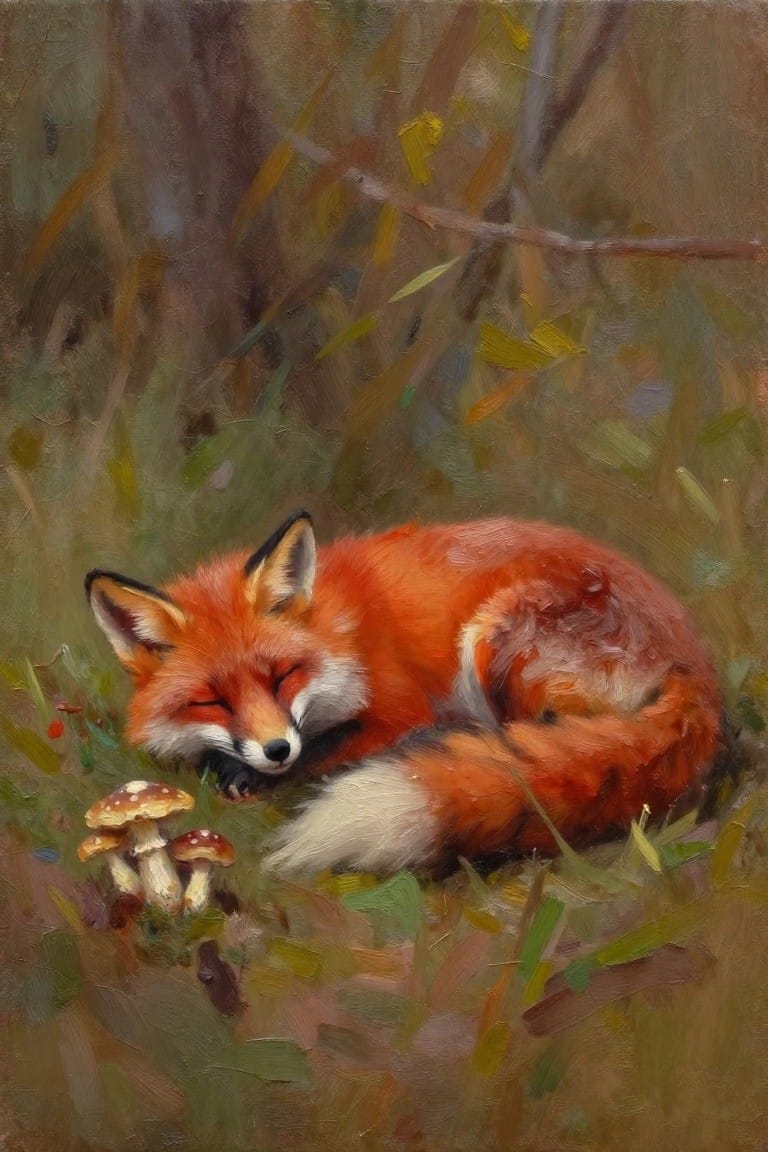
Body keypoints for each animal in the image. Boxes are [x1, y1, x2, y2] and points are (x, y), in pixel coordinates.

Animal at [85, 510, 724, 877]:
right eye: (211, 701)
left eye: (282, 676)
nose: (275, 750)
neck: (339, 628)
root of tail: (695, 663)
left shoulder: (397, 709)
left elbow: (326, 752)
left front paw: (249, 775)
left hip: (492, 642)